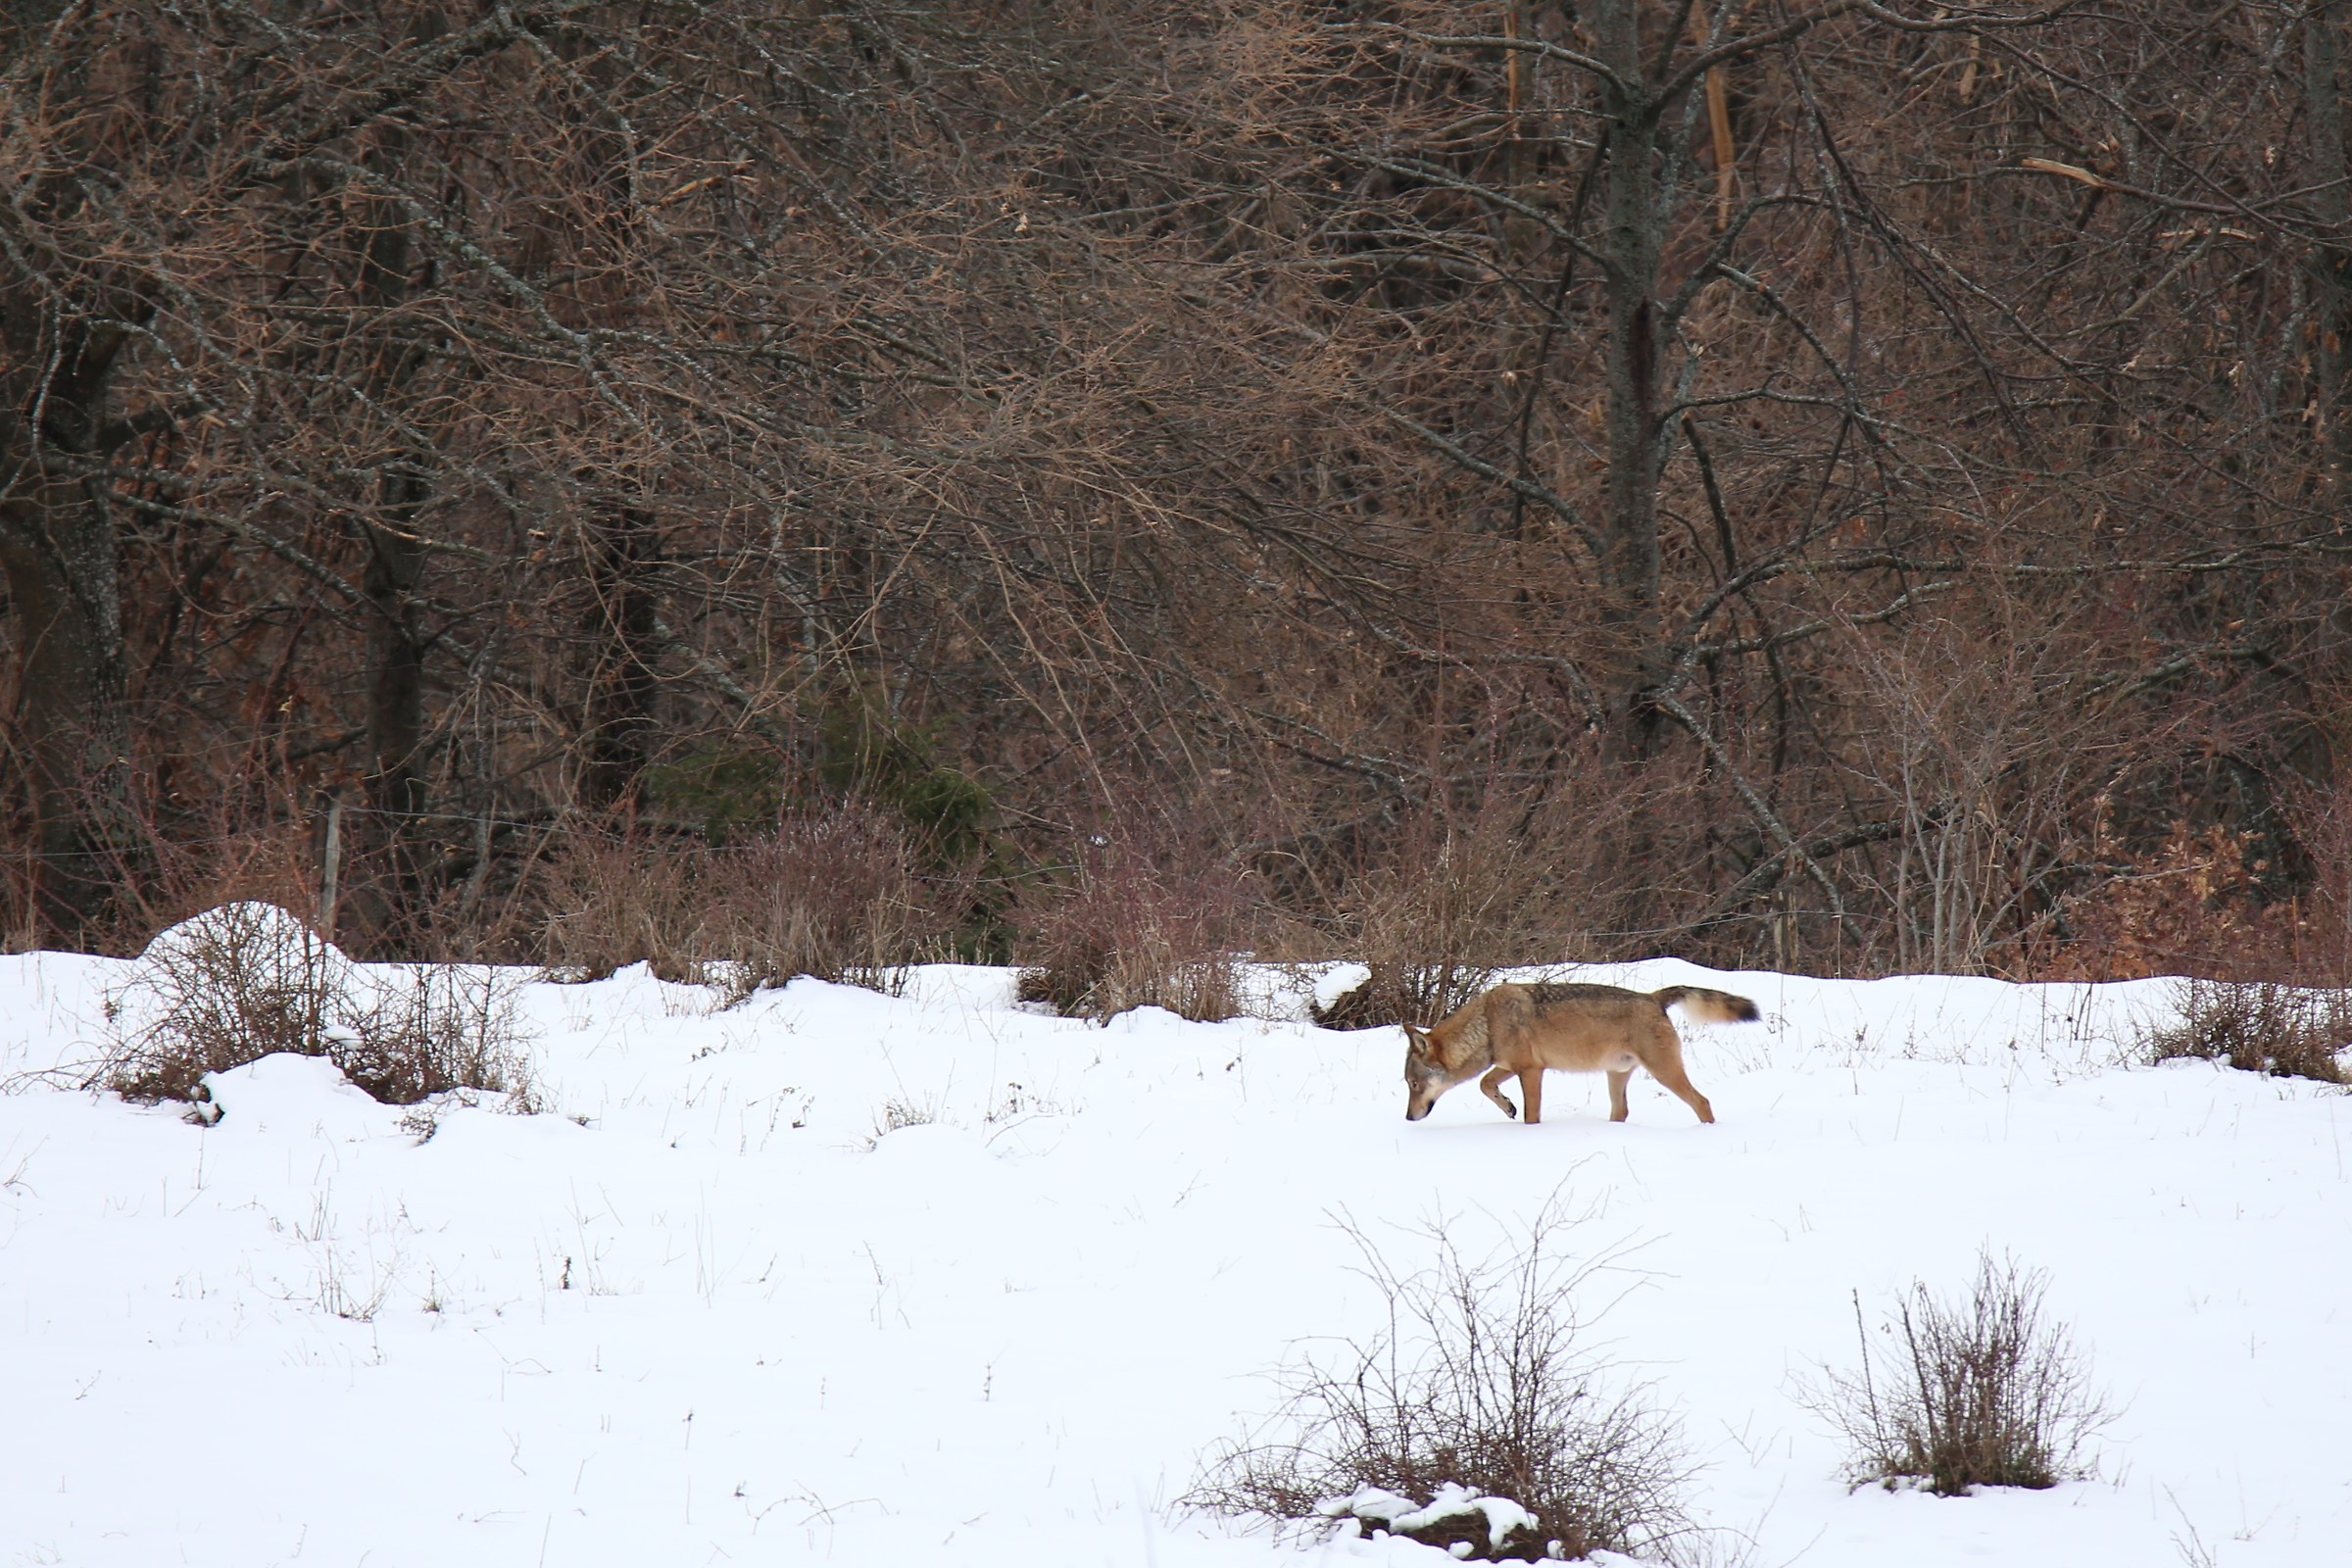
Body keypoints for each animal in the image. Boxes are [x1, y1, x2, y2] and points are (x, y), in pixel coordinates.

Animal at [1401, 981, 1759, 1126]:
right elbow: (1484, 1084)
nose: (1407, 1118)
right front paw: (1508, 1106)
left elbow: (1532, 1114)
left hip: (1664, 1073)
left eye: (1414, 1085)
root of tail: (1654, 997)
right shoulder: (1511, 1065)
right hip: (1616, 1076)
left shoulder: (1532, 1070)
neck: (1486, 1023)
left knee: (1703, 1102)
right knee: (1621, 1111)